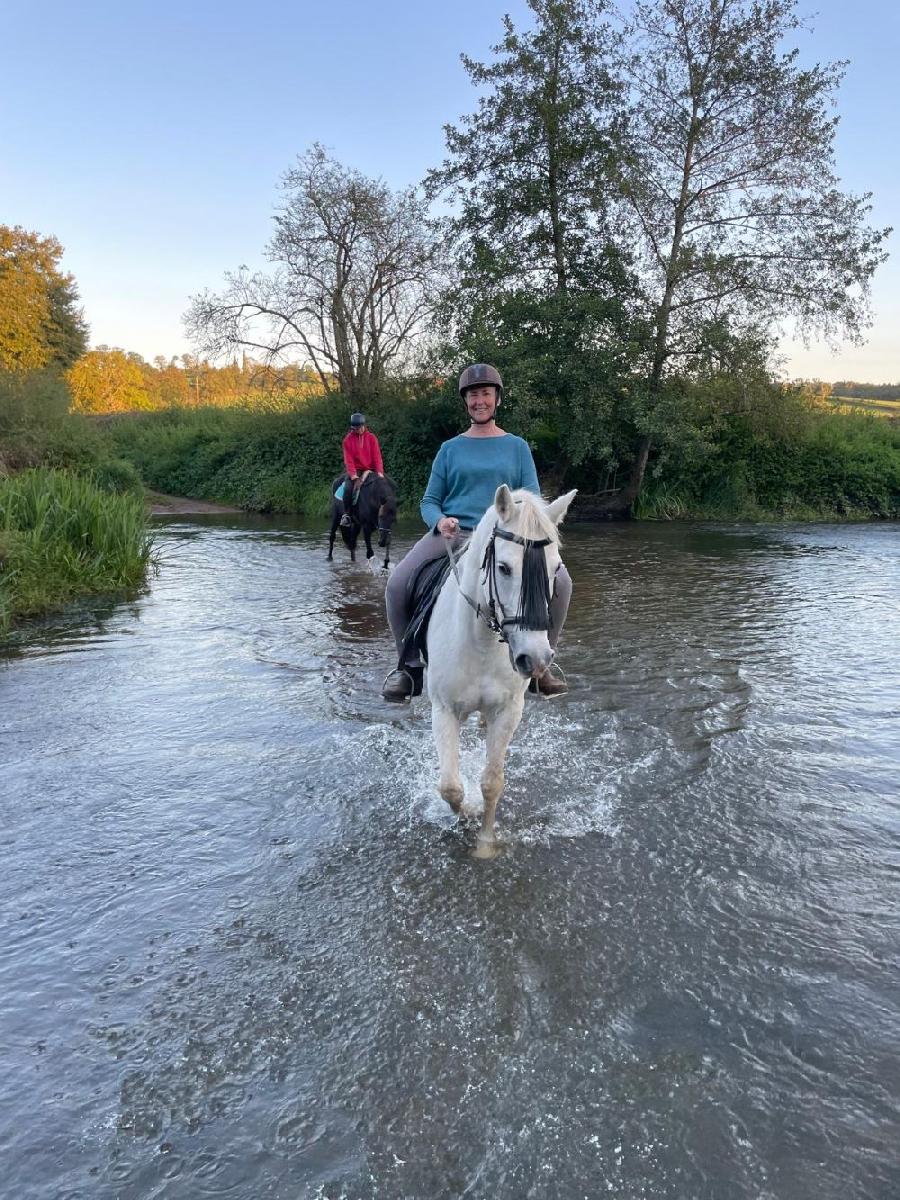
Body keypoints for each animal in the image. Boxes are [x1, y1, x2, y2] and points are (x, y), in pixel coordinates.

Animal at [424, 482, 578, 859]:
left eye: (555, 569)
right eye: (505, 568)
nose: (534, 659)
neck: (481, 644)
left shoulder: (509, 710)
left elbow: (492, 782)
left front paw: (485, 843)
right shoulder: (443, 710)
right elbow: (450, 787)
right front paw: (467, 814)